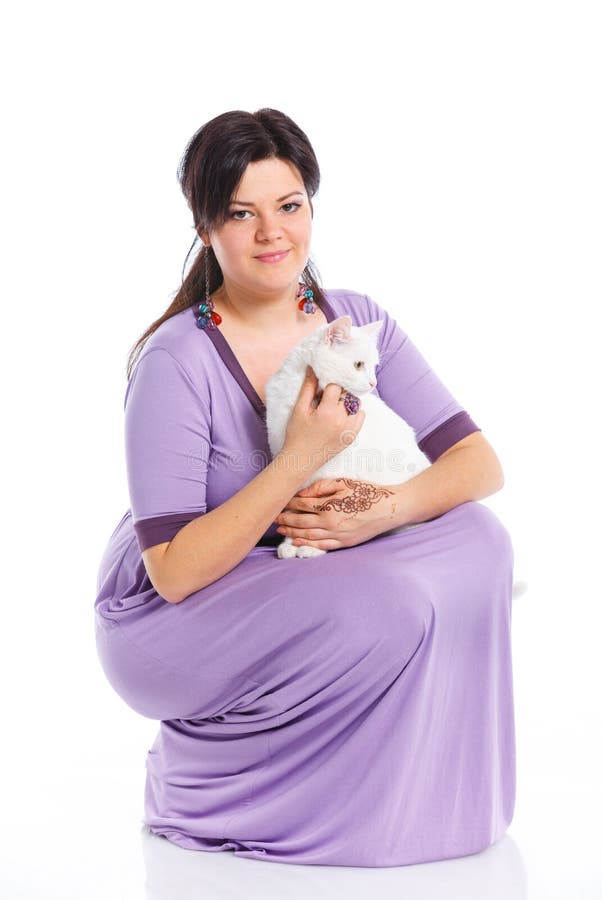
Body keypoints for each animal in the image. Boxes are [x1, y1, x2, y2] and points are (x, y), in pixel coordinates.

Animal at [264, 312, 428, 560]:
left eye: (374, 367)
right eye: (359, 365)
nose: (373, 382)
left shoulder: (332, 471)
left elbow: (316, 509)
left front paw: (311, 547)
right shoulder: (290, 465)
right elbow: (297, 508)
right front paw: (290, 544)